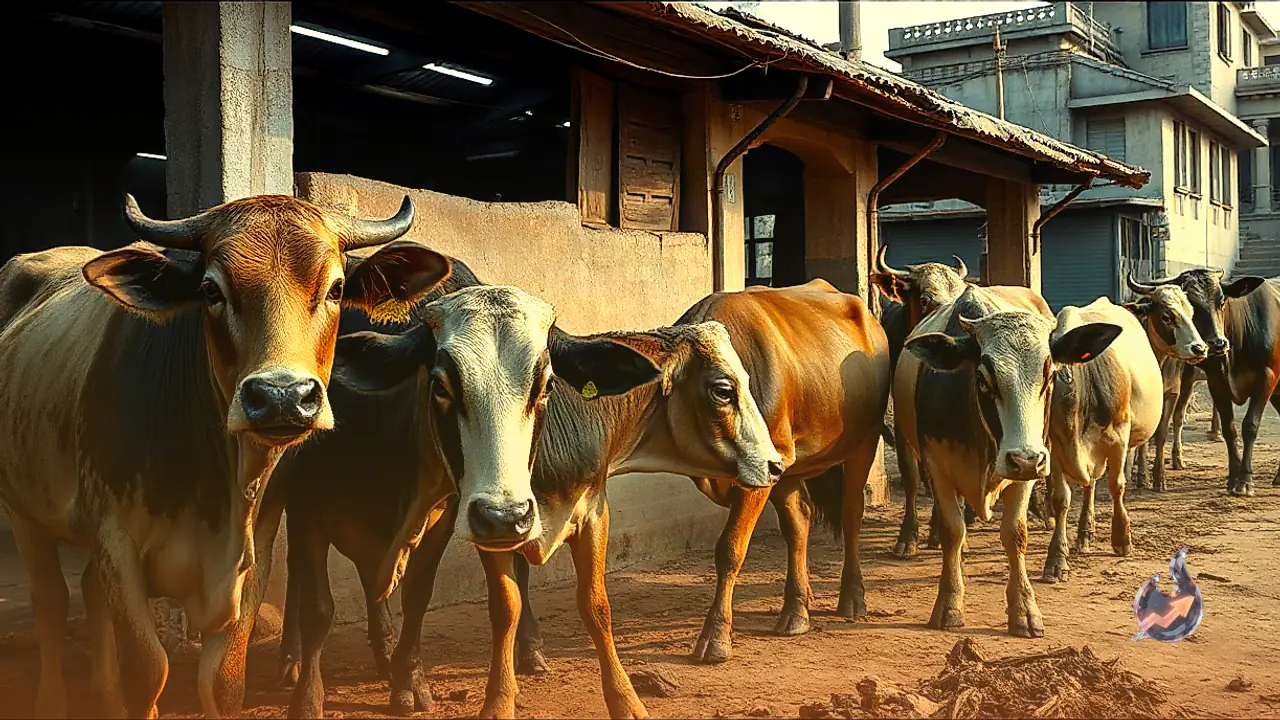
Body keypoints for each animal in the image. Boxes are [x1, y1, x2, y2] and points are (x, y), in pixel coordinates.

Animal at [0, 194, 452, 718]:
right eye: (210, 290)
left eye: (337, 288)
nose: (281, 396)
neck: (213, 488)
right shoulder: (116, 539)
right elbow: (147, 671)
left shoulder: (256, 546)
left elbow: (224, 683)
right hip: (23, 510)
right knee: (51, 601)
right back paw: (52, 698)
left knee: (88, 592)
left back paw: (103, 695)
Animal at [272, 265, 783, 718]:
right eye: (723, 389)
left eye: (547, 384)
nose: (775, 464)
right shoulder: (469, 520)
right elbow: (504, 606)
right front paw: (498, 701)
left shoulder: (586, 512)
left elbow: (595, 606)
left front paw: (626, 700)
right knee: (299, 577)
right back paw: (294, 661)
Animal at [895, 283, 1120, 636]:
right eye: (983, 379)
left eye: (1050, 376)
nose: (1025, 459)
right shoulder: (935, 464)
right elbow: (951, 531)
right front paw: (949, 603)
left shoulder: (1028, 469)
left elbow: (1015, 534)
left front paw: (1024, 610)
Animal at [1040, 293, 1205, 582]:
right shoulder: (1056, 445)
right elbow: (1061, 498)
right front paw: (1056, 559)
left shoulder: (1118, 437)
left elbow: (1117, 485)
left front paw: (1122, 537)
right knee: (1089, 484)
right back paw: (1085, 533)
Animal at [1128, 270, 1276, 496]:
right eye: (1194, 306)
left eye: (1222, 301)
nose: (1217, 344)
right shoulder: (1216, 382)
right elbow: (1230, 429)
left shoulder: (1266, 378)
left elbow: (1249, 425)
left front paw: (1244, 481)